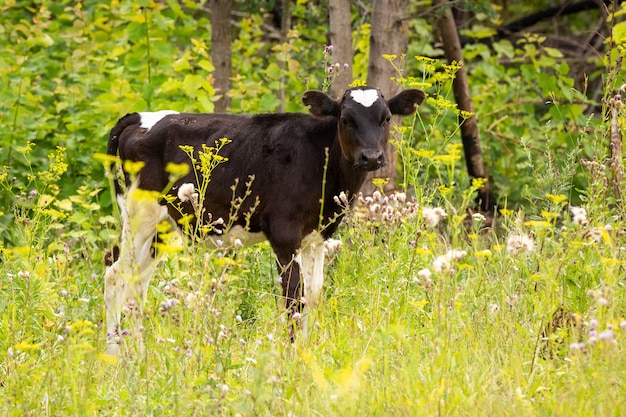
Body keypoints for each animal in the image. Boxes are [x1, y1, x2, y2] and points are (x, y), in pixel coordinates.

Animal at [103, 87, 424, 352]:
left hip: (165, 225)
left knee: (137, 282)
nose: (371, 157)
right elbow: (294, 296)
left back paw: (140, 355)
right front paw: (294, 356)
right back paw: (115, 356)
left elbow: (314, 294)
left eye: (386, 118)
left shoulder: (318, 236)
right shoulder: (285, 234)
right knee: (115, 272)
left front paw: (308, 352)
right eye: (346, 119)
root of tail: (138, 117)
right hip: (139, 213)